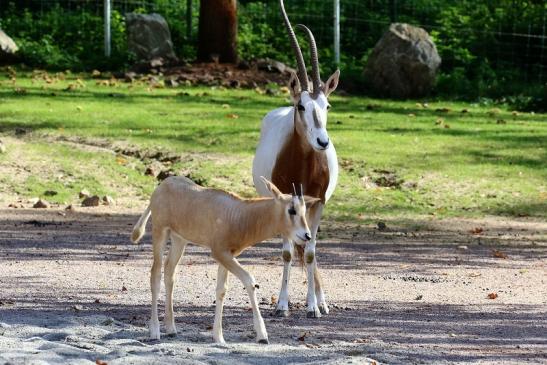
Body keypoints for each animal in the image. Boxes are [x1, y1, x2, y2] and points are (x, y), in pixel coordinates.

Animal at [253, 0, 338, 318]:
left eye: (327, 105)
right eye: (301, 106)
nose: (322, 142)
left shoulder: (318, 204)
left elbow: (311, 252)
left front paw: (313, 307)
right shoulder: (284, 202)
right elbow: (289, 252)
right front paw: (282, 305)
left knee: (308, 246)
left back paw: (321, 301)